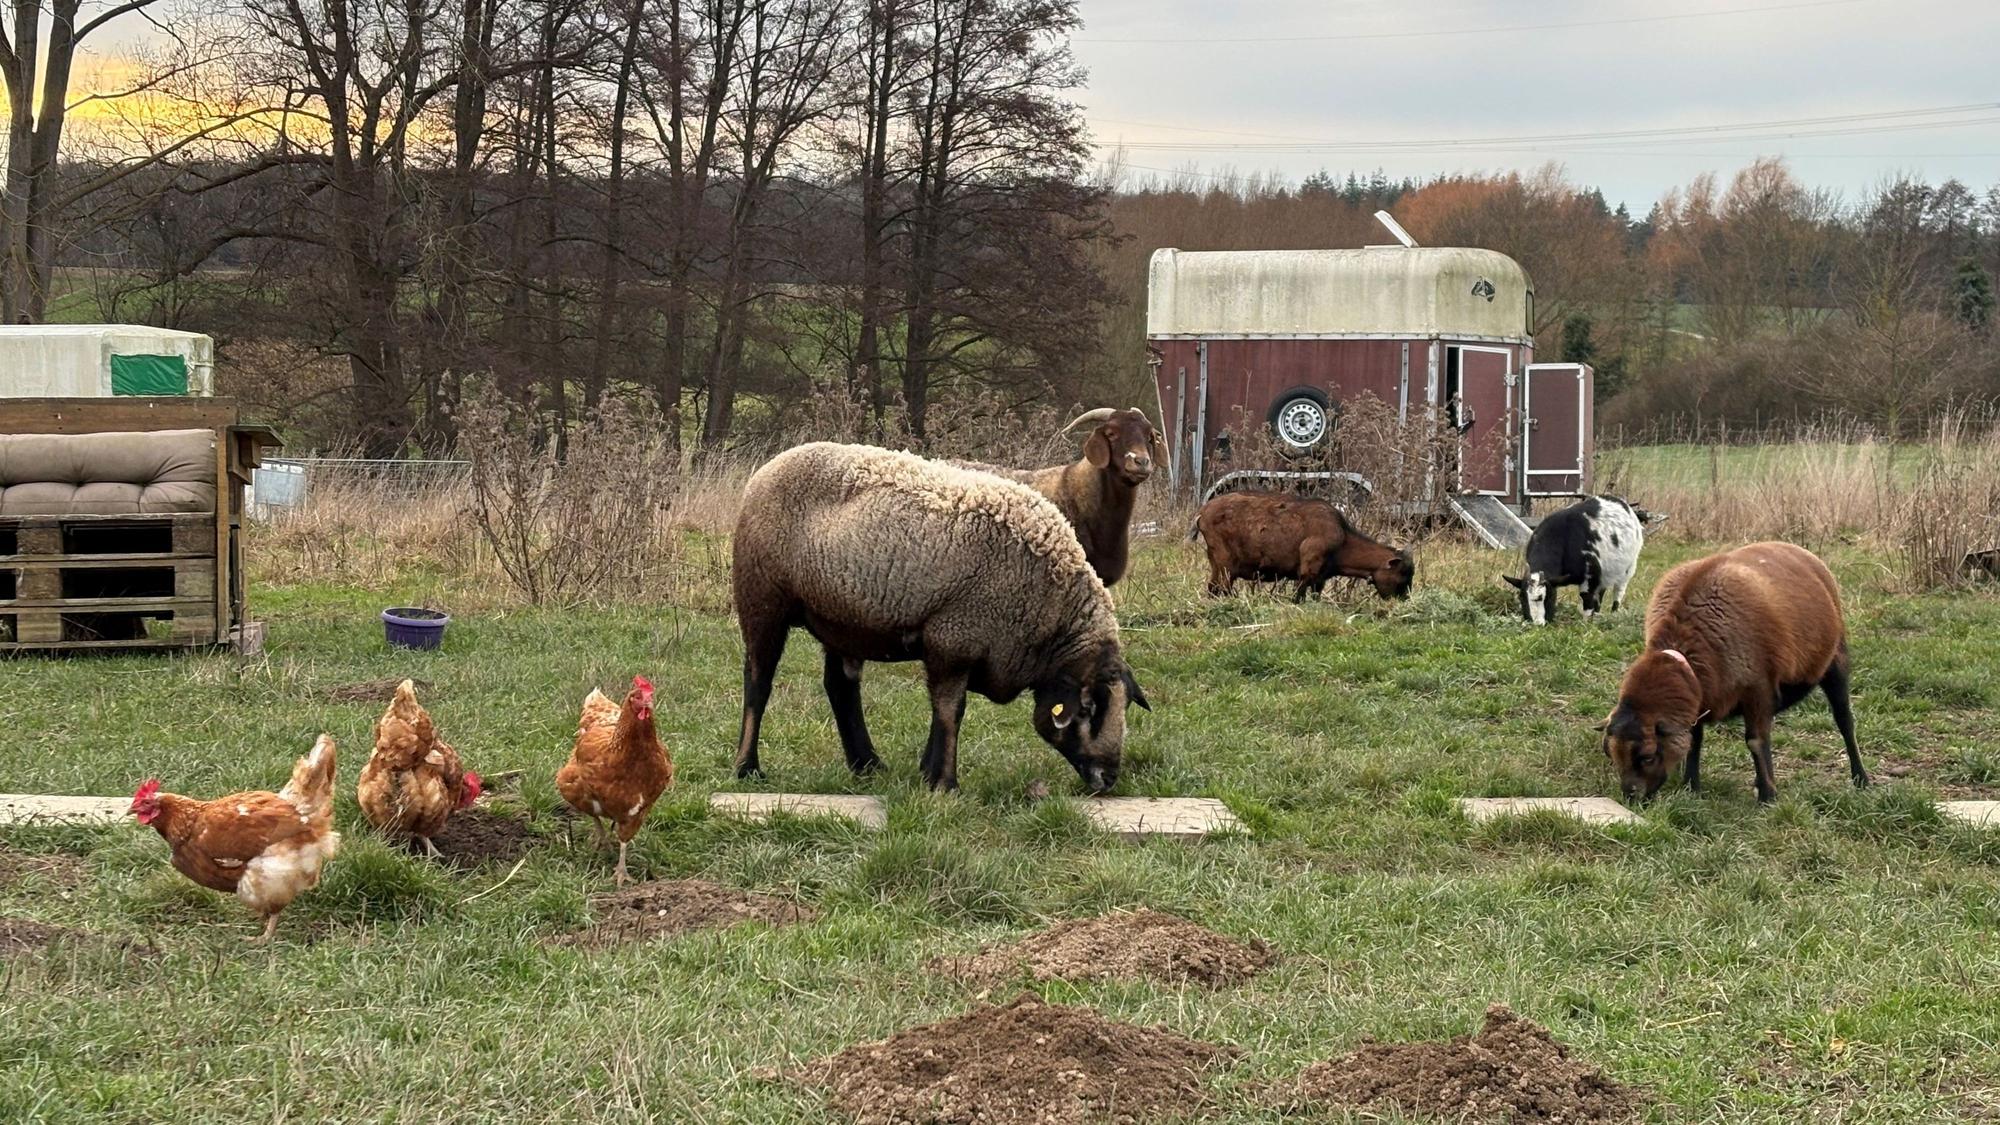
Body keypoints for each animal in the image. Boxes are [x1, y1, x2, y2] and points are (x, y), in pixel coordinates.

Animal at [731, 441, 1150, 794]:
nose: (1108, 778)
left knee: (841, 687)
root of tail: (770, 466)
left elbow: (941, 711)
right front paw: (945, 783)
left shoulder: (952, 649)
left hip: (842, 618)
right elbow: (951, 711)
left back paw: (867, 764)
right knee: (758, 680)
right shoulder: (953, 637)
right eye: (1089, 709)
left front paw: (927, 773)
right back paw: (747, 767)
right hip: (761, 598)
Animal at [1188, 489, 1413, 601]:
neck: (1343, 540)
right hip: (1226, 563)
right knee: (1222, 588)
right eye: (1403, 574)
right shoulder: (1308, 569)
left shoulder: (1319, 579)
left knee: (1212, 588)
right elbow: (1298, 598)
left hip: (1215, 562)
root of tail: (1202, 513)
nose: (1404, 599)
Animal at [1502, 495, 1644, 624]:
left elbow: (1587, 598)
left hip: (1628, 568)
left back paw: (1613, 614)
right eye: (1521, 597)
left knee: (1618, 592)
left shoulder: (1590, 575)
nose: (1537, 624)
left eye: (1549, 597)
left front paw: (1586, 624)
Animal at [1599, 541, 1868, 804]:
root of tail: (1798, 549)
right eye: (1610, 754)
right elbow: (1695, 740)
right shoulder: (1701, 699)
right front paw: (1691, 787)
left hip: (1835, 661)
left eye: (1648, 756)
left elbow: (1756, 741)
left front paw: (1768, 797)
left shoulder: (1758, 689)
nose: (1632, 798)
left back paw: (1861, 779)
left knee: (1844, 721)